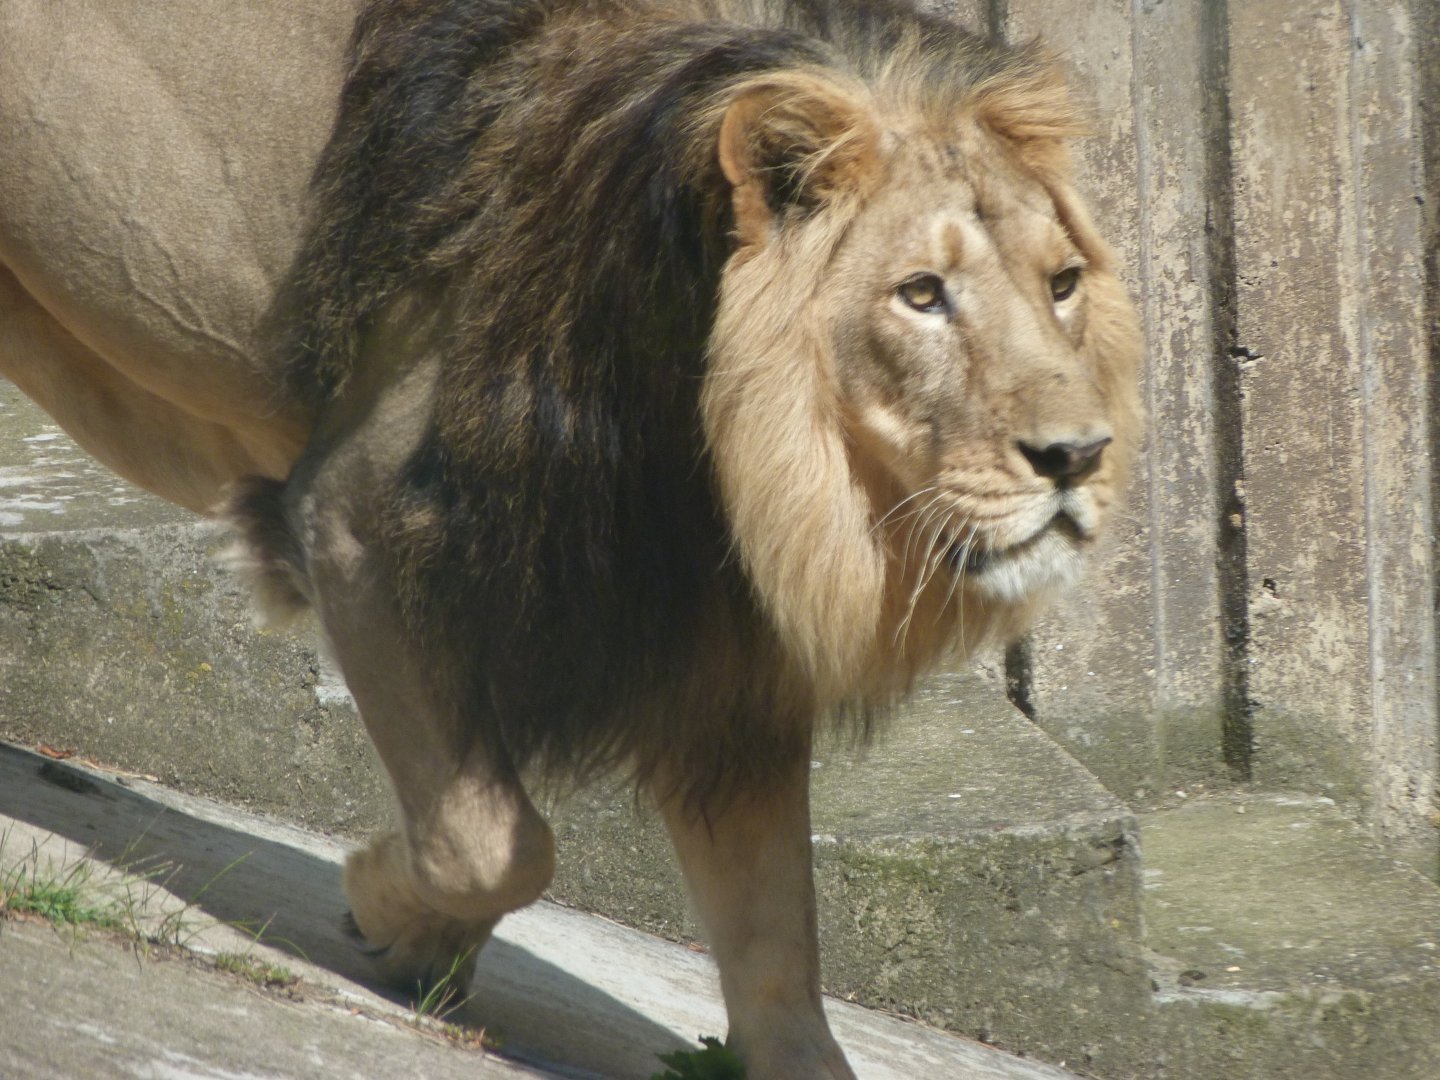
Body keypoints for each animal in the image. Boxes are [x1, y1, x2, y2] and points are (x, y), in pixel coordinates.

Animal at [0, 1, 1141, 1076]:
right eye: (920, 295)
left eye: (1061, 284)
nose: (1078, 456)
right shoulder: (360, 519)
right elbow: (495, 845)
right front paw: (390, 909)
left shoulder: (724, 662)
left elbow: (778, 944)